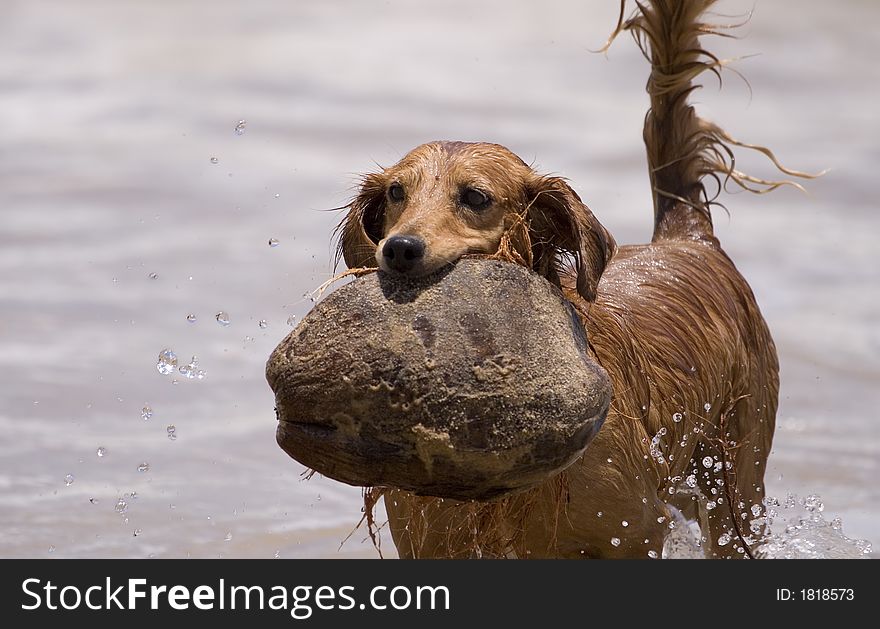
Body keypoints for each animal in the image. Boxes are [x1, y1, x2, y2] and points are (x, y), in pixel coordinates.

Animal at [336, 0, 812, 560]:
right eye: (396, 193)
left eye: (475, 197)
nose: (399, 249)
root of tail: (688, 237)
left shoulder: (635, 530)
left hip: (735, 486)